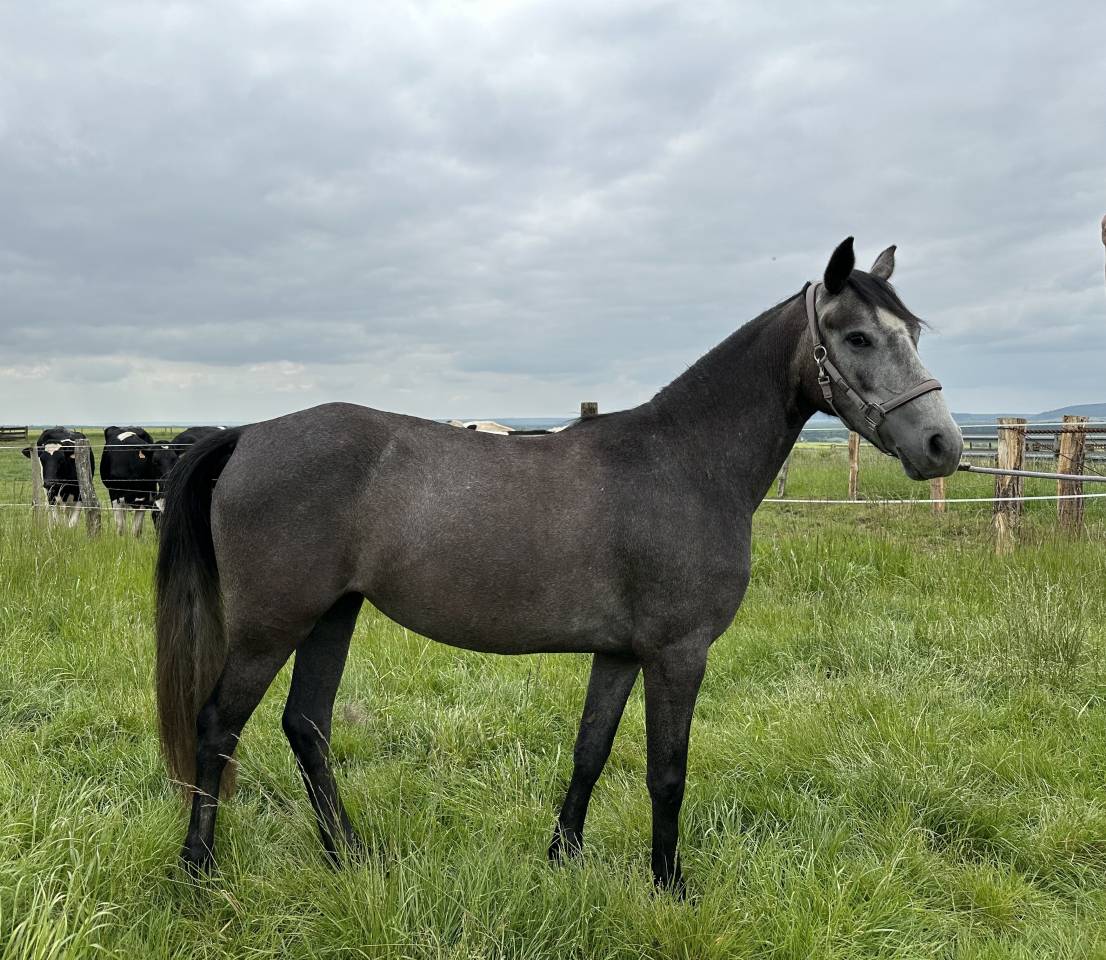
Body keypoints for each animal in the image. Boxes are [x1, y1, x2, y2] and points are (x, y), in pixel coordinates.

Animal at [156, 238, 962, 894]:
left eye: (913, 333)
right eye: (857, 336)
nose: (942, 445)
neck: (684, 462)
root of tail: (248, 434)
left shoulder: (619, 652)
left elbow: (590, 750)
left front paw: (562, 858)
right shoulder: (678, 653)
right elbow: (667, 770)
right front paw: (669, 884)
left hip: (332, 614)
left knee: (307, 726)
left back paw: (350, 857)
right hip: (271, 626)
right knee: (218, 723)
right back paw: (199, 872)